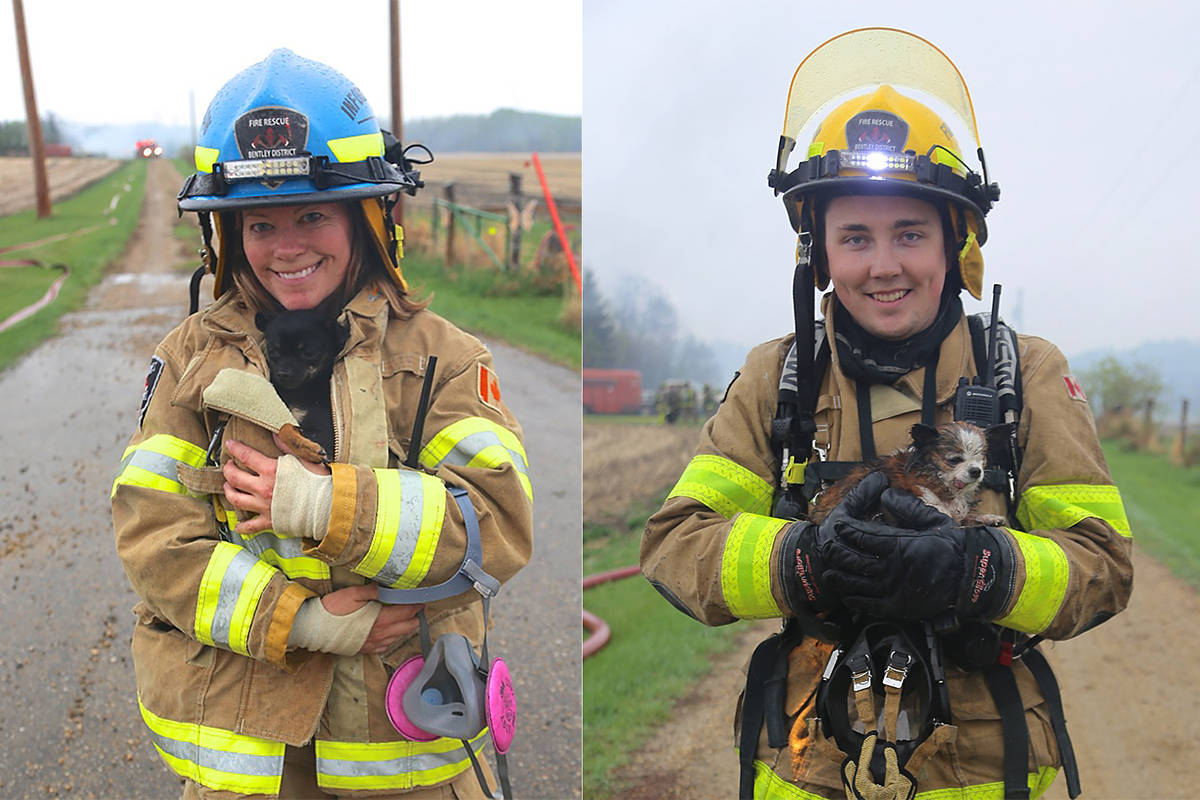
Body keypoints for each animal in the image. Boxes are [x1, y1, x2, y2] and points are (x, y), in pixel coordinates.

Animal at [253, 311, 348, 462]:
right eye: (273, 351)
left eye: (308, 353)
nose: (283, 373)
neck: (297, 391)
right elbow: (285, 427)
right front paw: (308, 449)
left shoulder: (326, 436)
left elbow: (284, 428)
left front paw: (309, 450)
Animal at [806, 422, 1012, 527]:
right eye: (954, 460)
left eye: (980, 459)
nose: (976, 471)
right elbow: (941, 511)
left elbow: (965, 516)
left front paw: (988, 518)